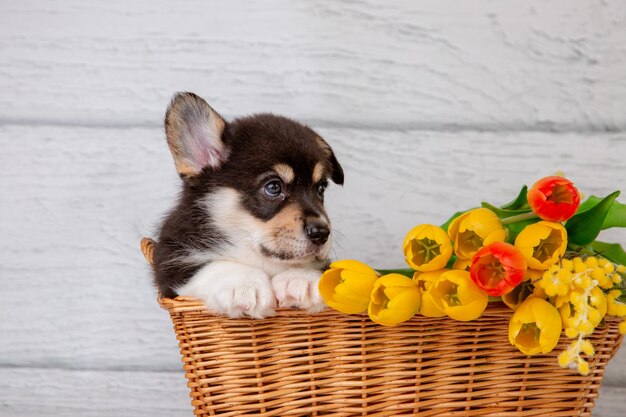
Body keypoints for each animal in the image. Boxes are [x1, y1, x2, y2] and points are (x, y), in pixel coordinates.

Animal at [153, 92, 344, 316]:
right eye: (273, 187)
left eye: (320, 188)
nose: (322, 233)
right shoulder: (170, 262)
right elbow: (212, 265)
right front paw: (244, 286)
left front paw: (301, 279)